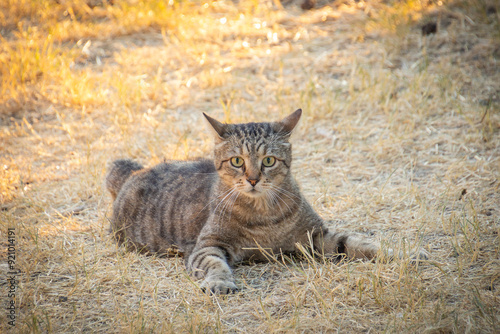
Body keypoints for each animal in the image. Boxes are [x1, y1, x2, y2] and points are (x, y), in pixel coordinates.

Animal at [106, 109, 394, 292]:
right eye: (237, 161)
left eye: (268, 160)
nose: (253, 179)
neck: (265, 214)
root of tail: (135, 170)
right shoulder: (208, 244)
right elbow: (213, 263)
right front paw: (219, 282)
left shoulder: (316, 236)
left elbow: (354, 243)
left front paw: (393, 253)